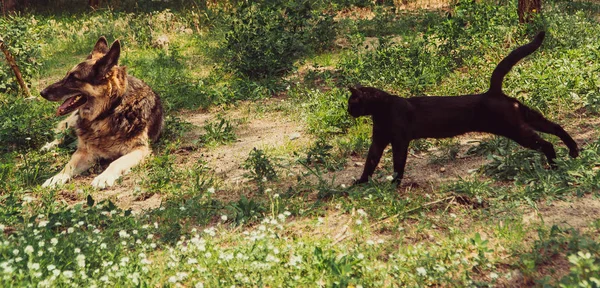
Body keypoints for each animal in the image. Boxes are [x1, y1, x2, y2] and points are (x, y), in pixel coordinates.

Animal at [40, 36, 164, 189]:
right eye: (66, 76)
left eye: (74, 79)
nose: (42, 93)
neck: (110, 111)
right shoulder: (85, 152)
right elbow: (68, 165)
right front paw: (56, 178)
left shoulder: (139, 149)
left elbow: (116, 162)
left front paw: (103, 177)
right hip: (73, 124)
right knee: (62, 135)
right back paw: (49, 145)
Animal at [350, 31, 580, 184]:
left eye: (351, 102)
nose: (348, 111)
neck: (380, 110)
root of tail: (492, 92)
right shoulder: (378, 139)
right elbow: (370, 161)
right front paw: (361, 182)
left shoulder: (399, 140)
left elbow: (398, 164)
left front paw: (394, 185)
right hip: (525, 118)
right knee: (555, 127)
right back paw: (573, 151)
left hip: (516, 129)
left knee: (546, 143)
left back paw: (555, 166)